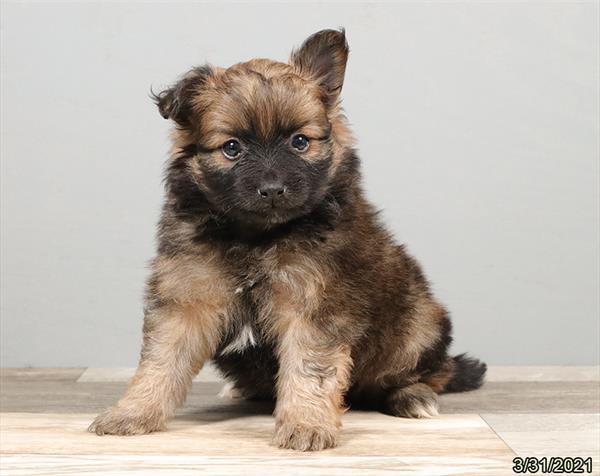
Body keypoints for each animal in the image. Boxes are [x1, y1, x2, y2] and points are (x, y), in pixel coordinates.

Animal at [90, 27, 488, 452]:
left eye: (299, 142)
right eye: (232, 148)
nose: (272, 189)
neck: (255, 236)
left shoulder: (314, 306)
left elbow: (309, 369)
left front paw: (306, 424)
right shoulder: (186, 299)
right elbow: (160, 362)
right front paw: (133, 412)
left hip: (419, 322)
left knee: (428, 372)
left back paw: (413, 396)